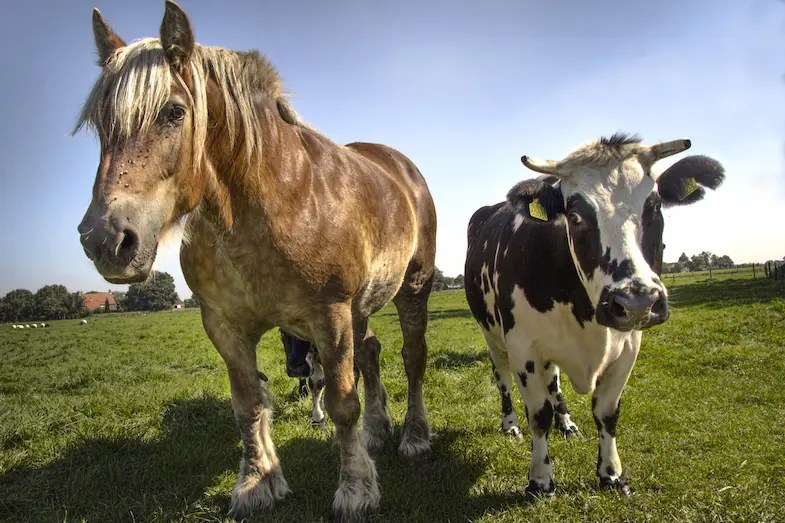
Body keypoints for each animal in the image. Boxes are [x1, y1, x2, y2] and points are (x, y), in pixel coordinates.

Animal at [75, 2, 436, 521]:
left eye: (174, 111)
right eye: (100, 123)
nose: (105, 240)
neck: (272, 201)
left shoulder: (329, 315)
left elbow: (340, 403)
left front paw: (355, 489)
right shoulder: (224, 324)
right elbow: (247, 404)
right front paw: (257, 482)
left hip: (412, 287)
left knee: (412, 357)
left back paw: (414, 437)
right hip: (361, 307)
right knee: (369, 353)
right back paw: (376, 430)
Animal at [464, 134, 724, 497]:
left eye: (655, 206)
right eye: (574, 216)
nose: (637, 301)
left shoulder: (629, 344)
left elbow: (606, 412)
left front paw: (611, 474)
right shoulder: (522, 346)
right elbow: (538, 415)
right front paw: (540, 481)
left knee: (555, 380)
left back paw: (567, 422)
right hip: (493, 337)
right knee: (502, 378)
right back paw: (511, 424)